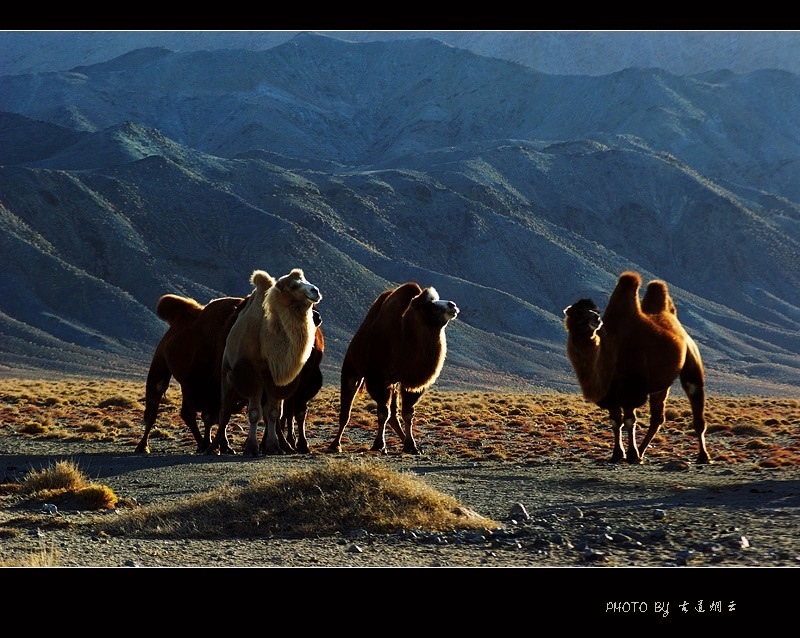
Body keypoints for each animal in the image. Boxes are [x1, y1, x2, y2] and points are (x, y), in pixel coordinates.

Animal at [208, 270, 324, 460]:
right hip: (227, 373)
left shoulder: (273, 377)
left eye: (305, 279)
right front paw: (252, 448)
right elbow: (255, 412)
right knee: (224, 410)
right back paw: (214, 447)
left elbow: (273, 412)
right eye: (293, 285)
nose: (315, 291)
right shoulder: (251, 372)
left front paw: (273, 446)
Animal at [326, 284, 462, 456]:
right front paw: (379, 445)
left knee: (394, 415)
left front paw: (412, 446)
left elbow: (407, 414)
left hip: (394, 384)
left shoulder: (411, 383)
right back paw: (335, 444)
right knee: (347, 409)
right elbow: (383, 412)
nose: (452, 305)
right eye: (428, 305)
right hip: (351, 368)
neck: (402, 339)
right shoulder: (378, 379)